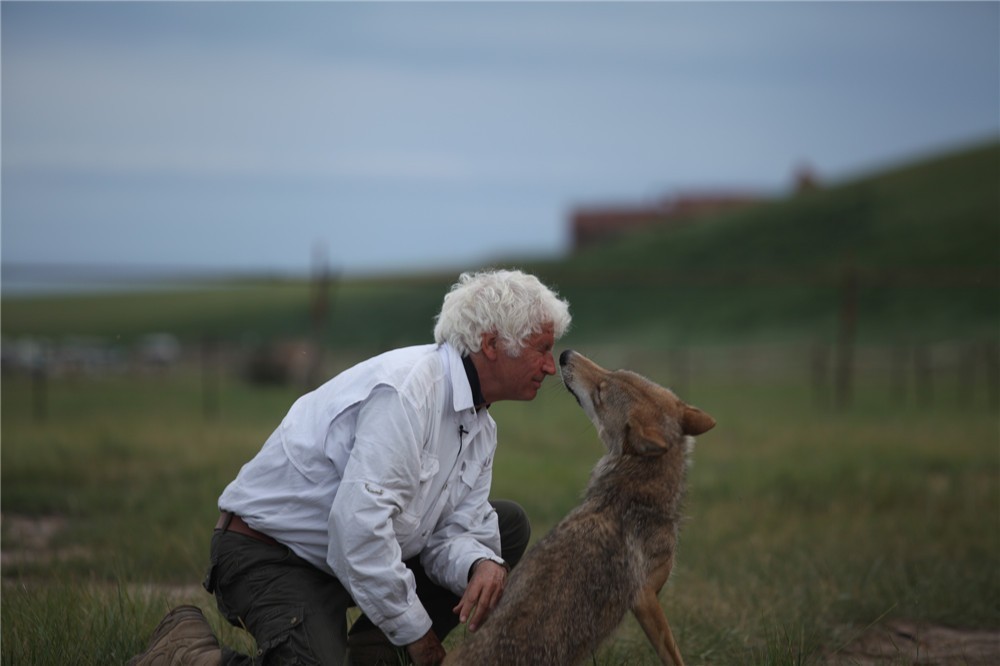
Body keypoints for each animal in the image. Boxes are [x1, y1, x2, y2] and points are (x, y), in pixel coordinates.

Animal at [442, 348, 716, 664]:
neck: (633, 489)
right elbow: (674, 656)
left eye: (601, 393)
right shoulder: (644, 597)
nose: (564, 353)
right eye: (609, 377)